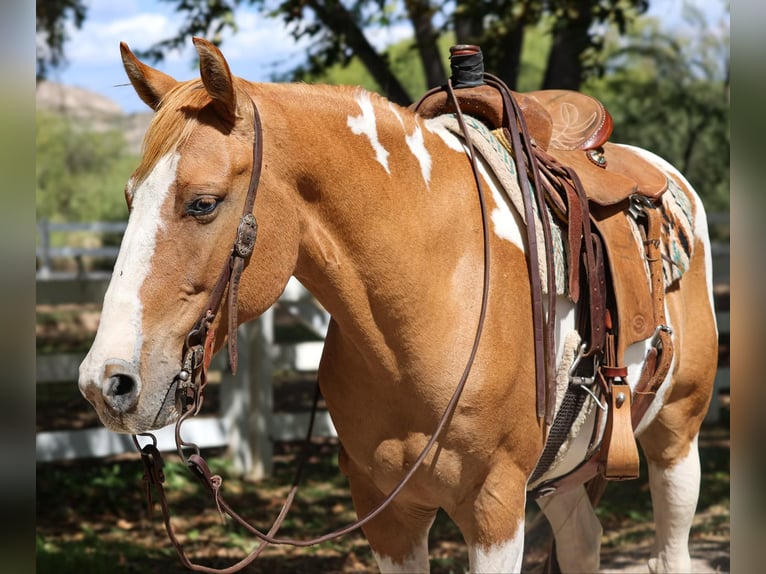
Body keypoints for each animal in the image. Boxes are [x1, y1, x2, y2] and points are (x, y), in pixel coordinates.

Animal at [78, 37, 718, 573]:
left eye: (203, 203)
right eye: (130, 199)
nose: (105, 383)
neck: (431, 296)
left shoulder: (495, 508)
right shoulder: (387, 514)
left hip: (676, 438)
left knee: (670, 549)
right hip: (562, 475)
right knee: (584, 539)